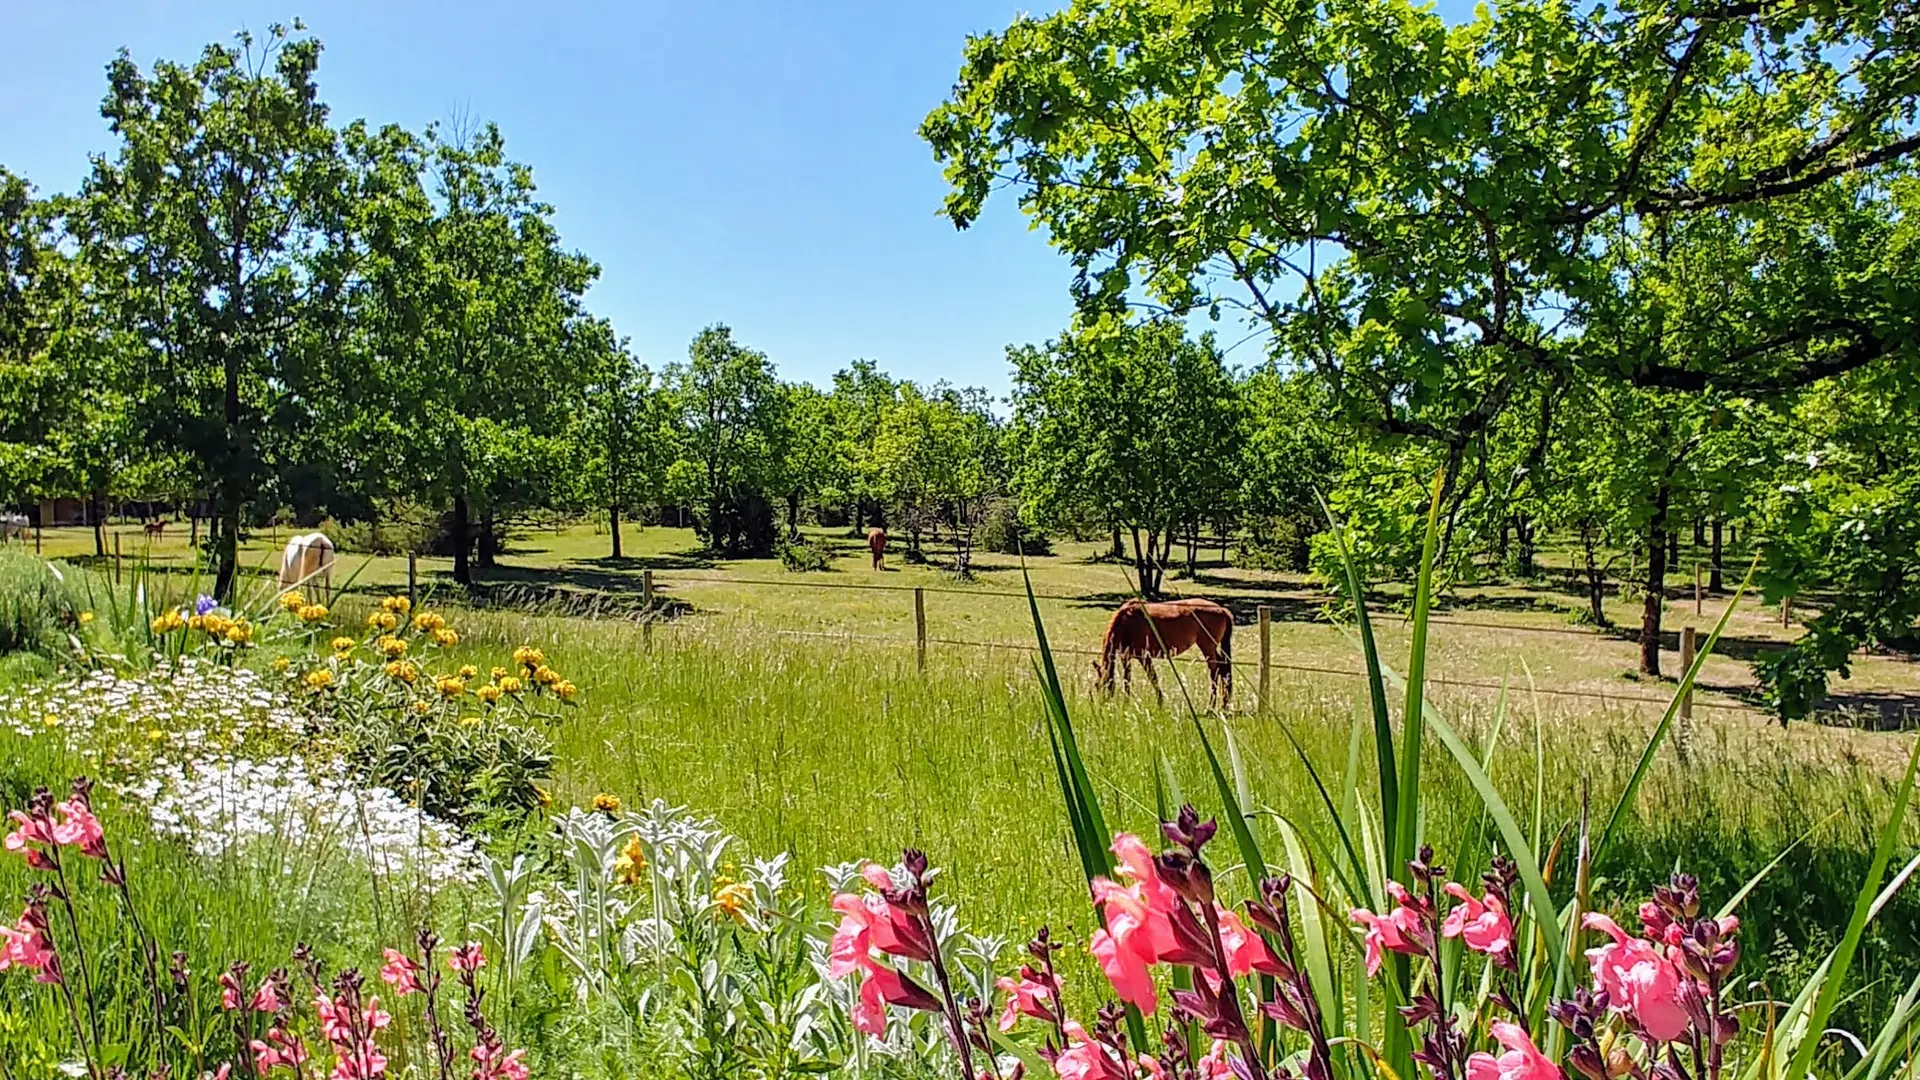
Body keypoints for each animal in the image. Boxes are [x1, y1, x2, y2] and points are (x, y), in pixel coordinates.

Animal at [1090, 595, 1236, 707]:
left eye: (1104, 684)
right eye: (1097, 685)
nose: (1103, 704)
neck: (1127, 621)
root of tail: (1222, 609)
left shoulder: (1143, 656)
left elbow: (1153, 677)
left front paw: (1160, 702)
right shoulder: (1125, 656)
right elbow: (1127, 680)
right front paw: (1127, 703)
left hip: (1207, 647)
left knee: (1215, 672)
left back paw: (1210, 708)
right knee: (1223, 671)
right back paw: (1224, 706)